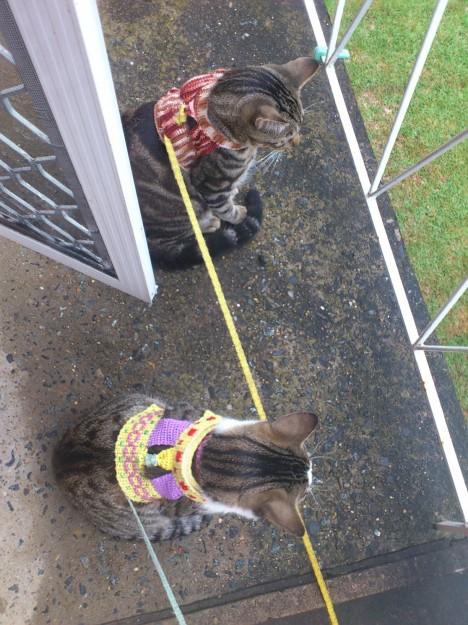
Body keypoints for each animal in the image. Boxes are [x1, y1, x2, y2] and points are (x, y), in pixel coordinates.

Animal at [122, 57, 319, 268]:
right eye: (286, 138)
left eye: (300, 127)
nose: (297, 143)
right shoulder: (211, 186)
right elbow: (225, 208)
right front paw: (239, 215)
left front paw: (234, 193)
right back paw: (209, 222)